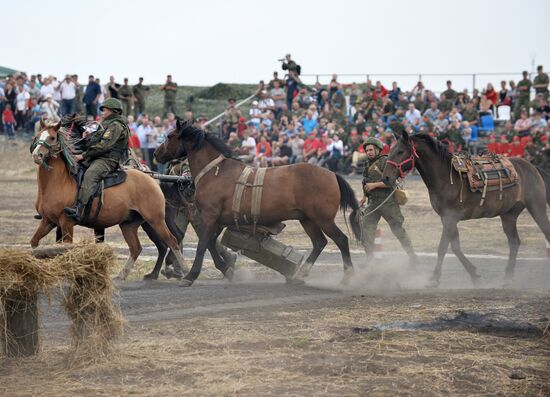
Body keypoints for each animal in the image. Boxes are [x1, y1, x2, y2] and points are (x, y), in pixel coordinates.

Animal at [30, 120, 190, 278]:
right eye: (37, 136)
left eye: (52, 137)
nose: (37, 155)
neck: (60, 181)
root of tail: (152, 179)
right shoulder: (48, 221)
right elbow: (34, 243)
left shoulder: (66, 223)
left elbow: (66, 248)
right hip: (129, 224)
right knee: (137, 248)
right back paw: (124, 275)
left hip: (155, 220)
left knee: (171, 241)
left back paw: (184, 272)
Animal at [153, 119, 364, 286]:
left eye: (170, 136)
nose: (155, 153)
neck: (216, 172)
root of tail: (332, 174)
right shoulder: (218, 220)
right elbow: (211, 243)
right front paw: (225, 268)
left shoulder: (209, 216)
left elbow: (202, 245)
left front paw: (191, 275)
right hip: (308, 219)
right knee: (320, 242)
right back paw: (300, 274)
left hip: (323, 219)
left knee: (341, 240)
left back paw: (348, 275)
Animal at [382, 131, 550, 286]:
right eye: (391, 150)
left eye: (400, 151)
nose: (386, 178)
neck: (445, 178)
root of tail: (532, 167)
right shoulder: (447, 218)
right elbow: (455, 247)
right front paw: (474, 274)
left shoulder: (450, 218)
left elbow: (443, 247)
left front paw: (434, 279)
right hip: (509, 215)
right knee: (514, 242)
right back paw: (508, 278)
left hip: (537, 207)